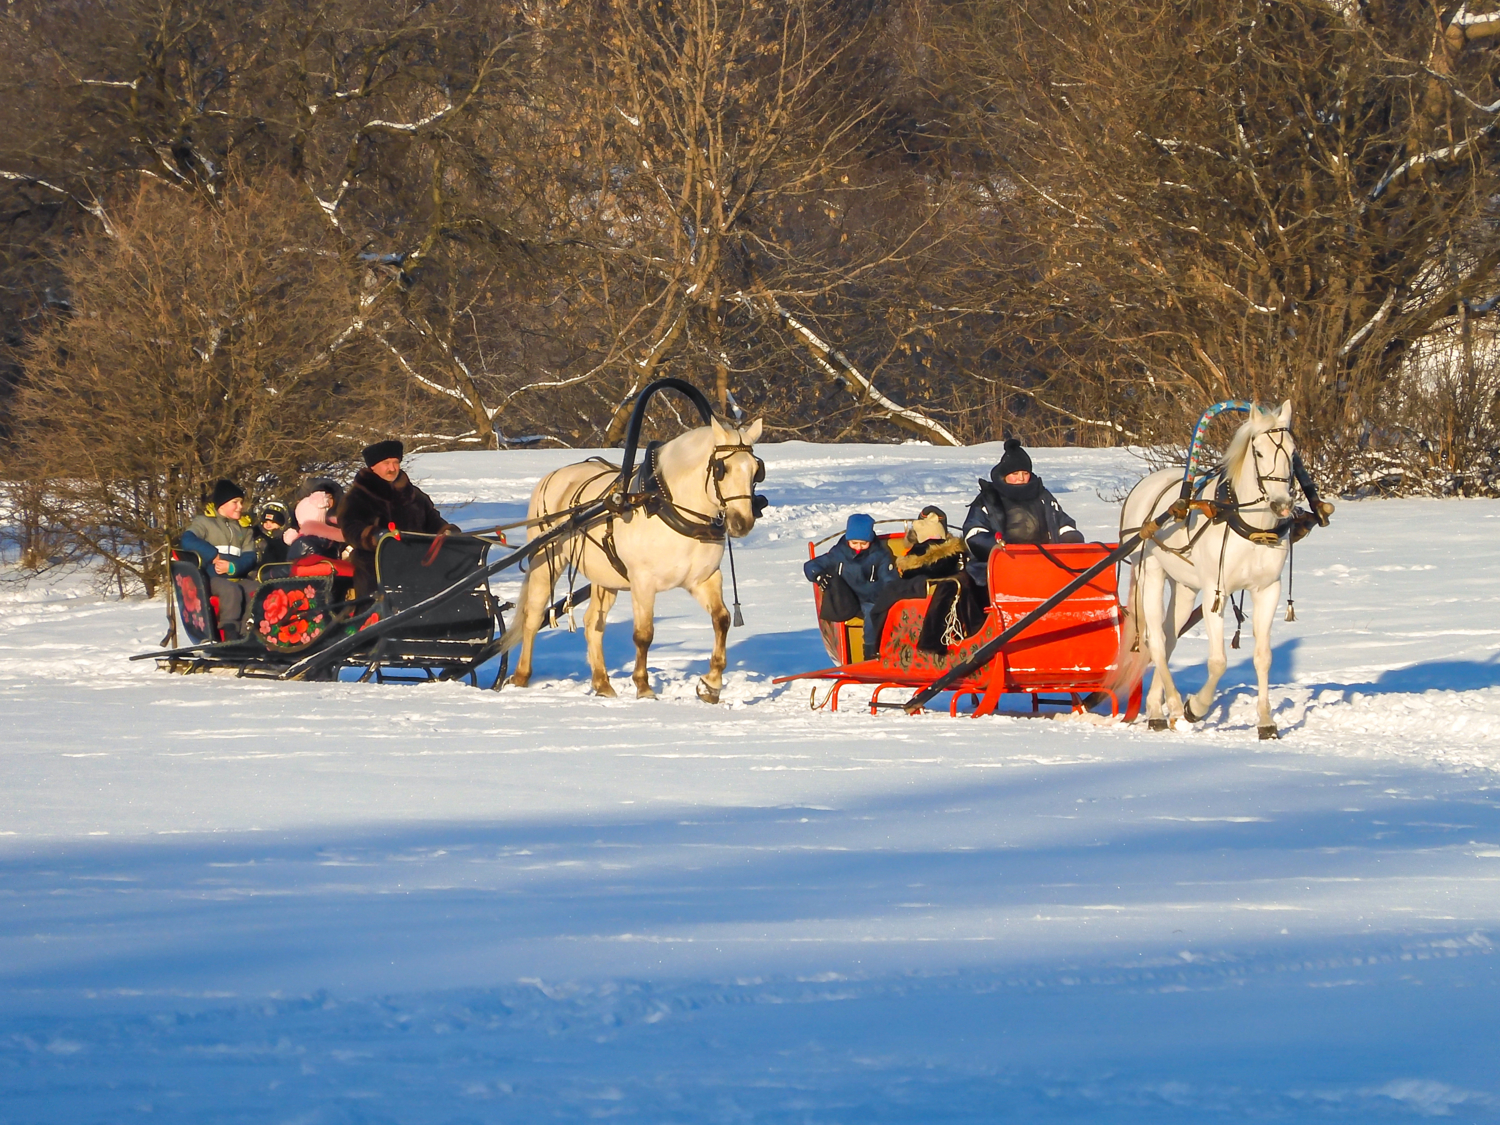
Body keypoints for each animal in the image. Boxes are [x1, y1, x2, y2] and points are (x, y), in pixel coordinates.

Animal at [501, 420, 762, 705]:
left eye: (756, 470)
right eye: (722, 469)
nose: (742, 523)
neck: (668, 506)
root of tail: (553, 475)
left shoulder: (703, 579)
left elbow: (722, 619)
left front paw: (710, 685)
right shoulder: (643, 582)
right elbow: (643, 635)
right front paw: (644, 687)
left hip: (605, 576)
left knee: (593, 623)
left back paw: (603, 683)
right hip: (546, 560)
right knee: (533, 615)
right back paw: (521, 676)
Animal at [1116, 402, 1302, 741]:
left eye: (1293, 453)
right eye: (1258, 452)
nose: (1282, 504)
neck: (1249, 525)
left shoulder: (1268, 590)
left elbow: (1263, 657)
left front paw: (1266, 722)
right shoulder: (1216, 592)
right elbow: (1217, 662)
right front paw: (1196, 707)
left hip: (1185, 588)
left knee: (1169, 637)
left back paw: (1156, 711)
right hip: (1151, 573)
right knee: (1155, 642)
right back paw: (1175, 706)